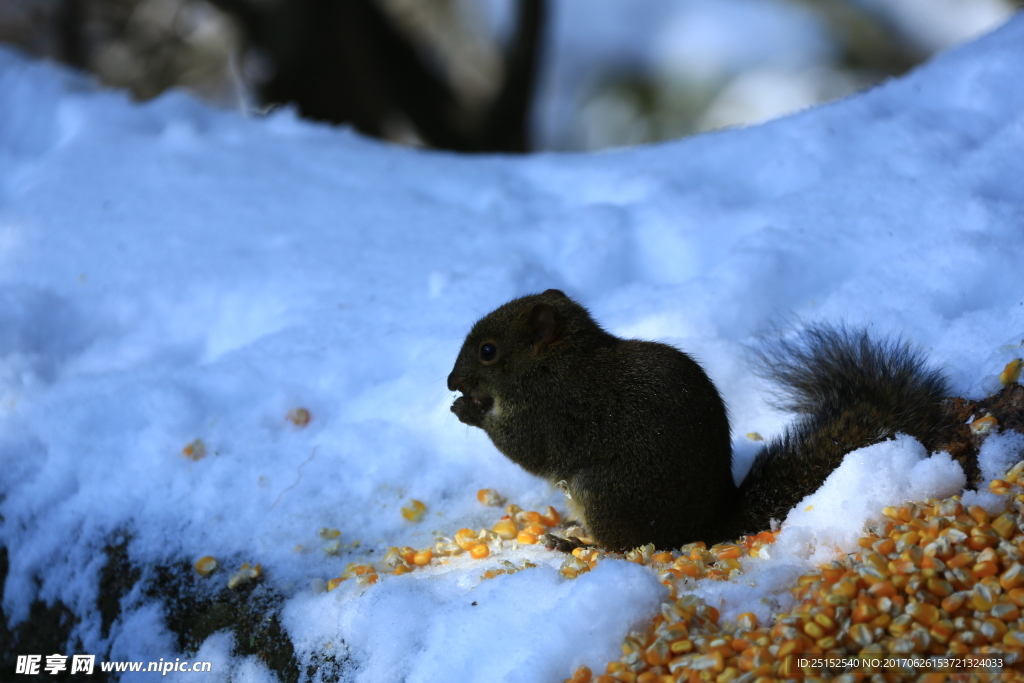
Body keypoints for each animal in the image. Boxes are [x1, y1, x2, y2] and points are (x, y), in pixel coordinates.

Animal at [448, 286, 950, 548]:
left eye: (488, 351)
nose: (452, 382)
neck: (556, 361)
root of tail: (704, 529)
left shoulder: (552, 409)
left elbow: (527, 448)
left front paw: (470, 411)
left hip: (605, 492)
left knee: (622, 546)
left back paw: (575, 541)